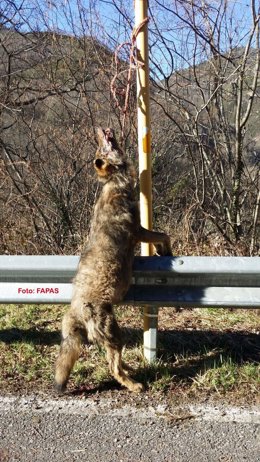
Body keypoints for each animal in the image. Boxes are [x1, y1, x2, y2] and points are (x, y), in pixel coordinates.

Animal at [54, 128, 173, 392]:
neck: (114, 183)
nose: (100, 130)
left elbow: (162, 237)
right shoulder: (139, 231)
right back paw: (134, 384)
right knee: (113, 367)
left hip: (112, 336)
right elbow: (164, 235)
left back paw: (131, 371)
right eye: (102, 148)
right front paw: (167, 252)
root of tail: (74, 312)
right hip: (114, 333)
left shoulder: (141, 231)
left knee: (115, 361)